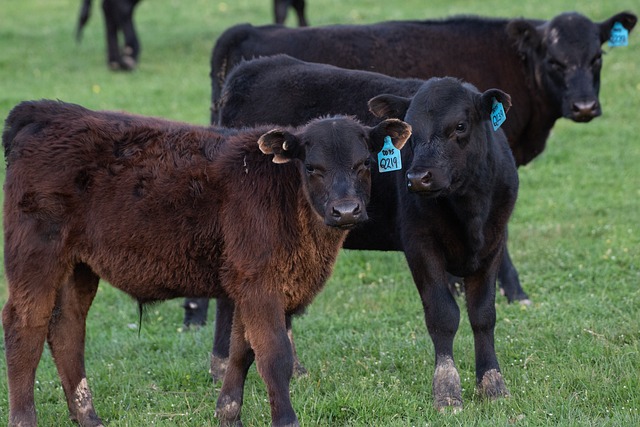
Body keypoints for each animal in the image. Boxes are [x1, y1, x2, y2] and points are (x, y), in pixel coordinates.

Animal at [2, 101, 410, 427]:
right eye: (312, 167)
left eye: (364, 164)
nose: (346, 210)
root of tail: (45, 112)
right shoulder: (260, 285)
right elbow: (275, 354)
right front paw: (285, 419)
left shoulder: (248, 285)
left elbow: (242, 350)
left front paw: (228, 412)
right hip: (36, 256)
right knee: (26, 326)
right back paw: (24, 418)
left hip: (79, 266)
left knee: (67, 328)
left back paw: (88, 416)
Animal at [222, 68, 516, 410]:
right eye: (411, 131)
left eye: (460, 126)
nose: (417, 178)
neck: (469, 211)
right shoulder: (419, 244)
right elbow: (443, 314)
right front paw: (447, 389)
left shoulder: (493, 243)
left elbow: (483, 315)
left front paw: (493, 383)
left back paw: (295, 369)